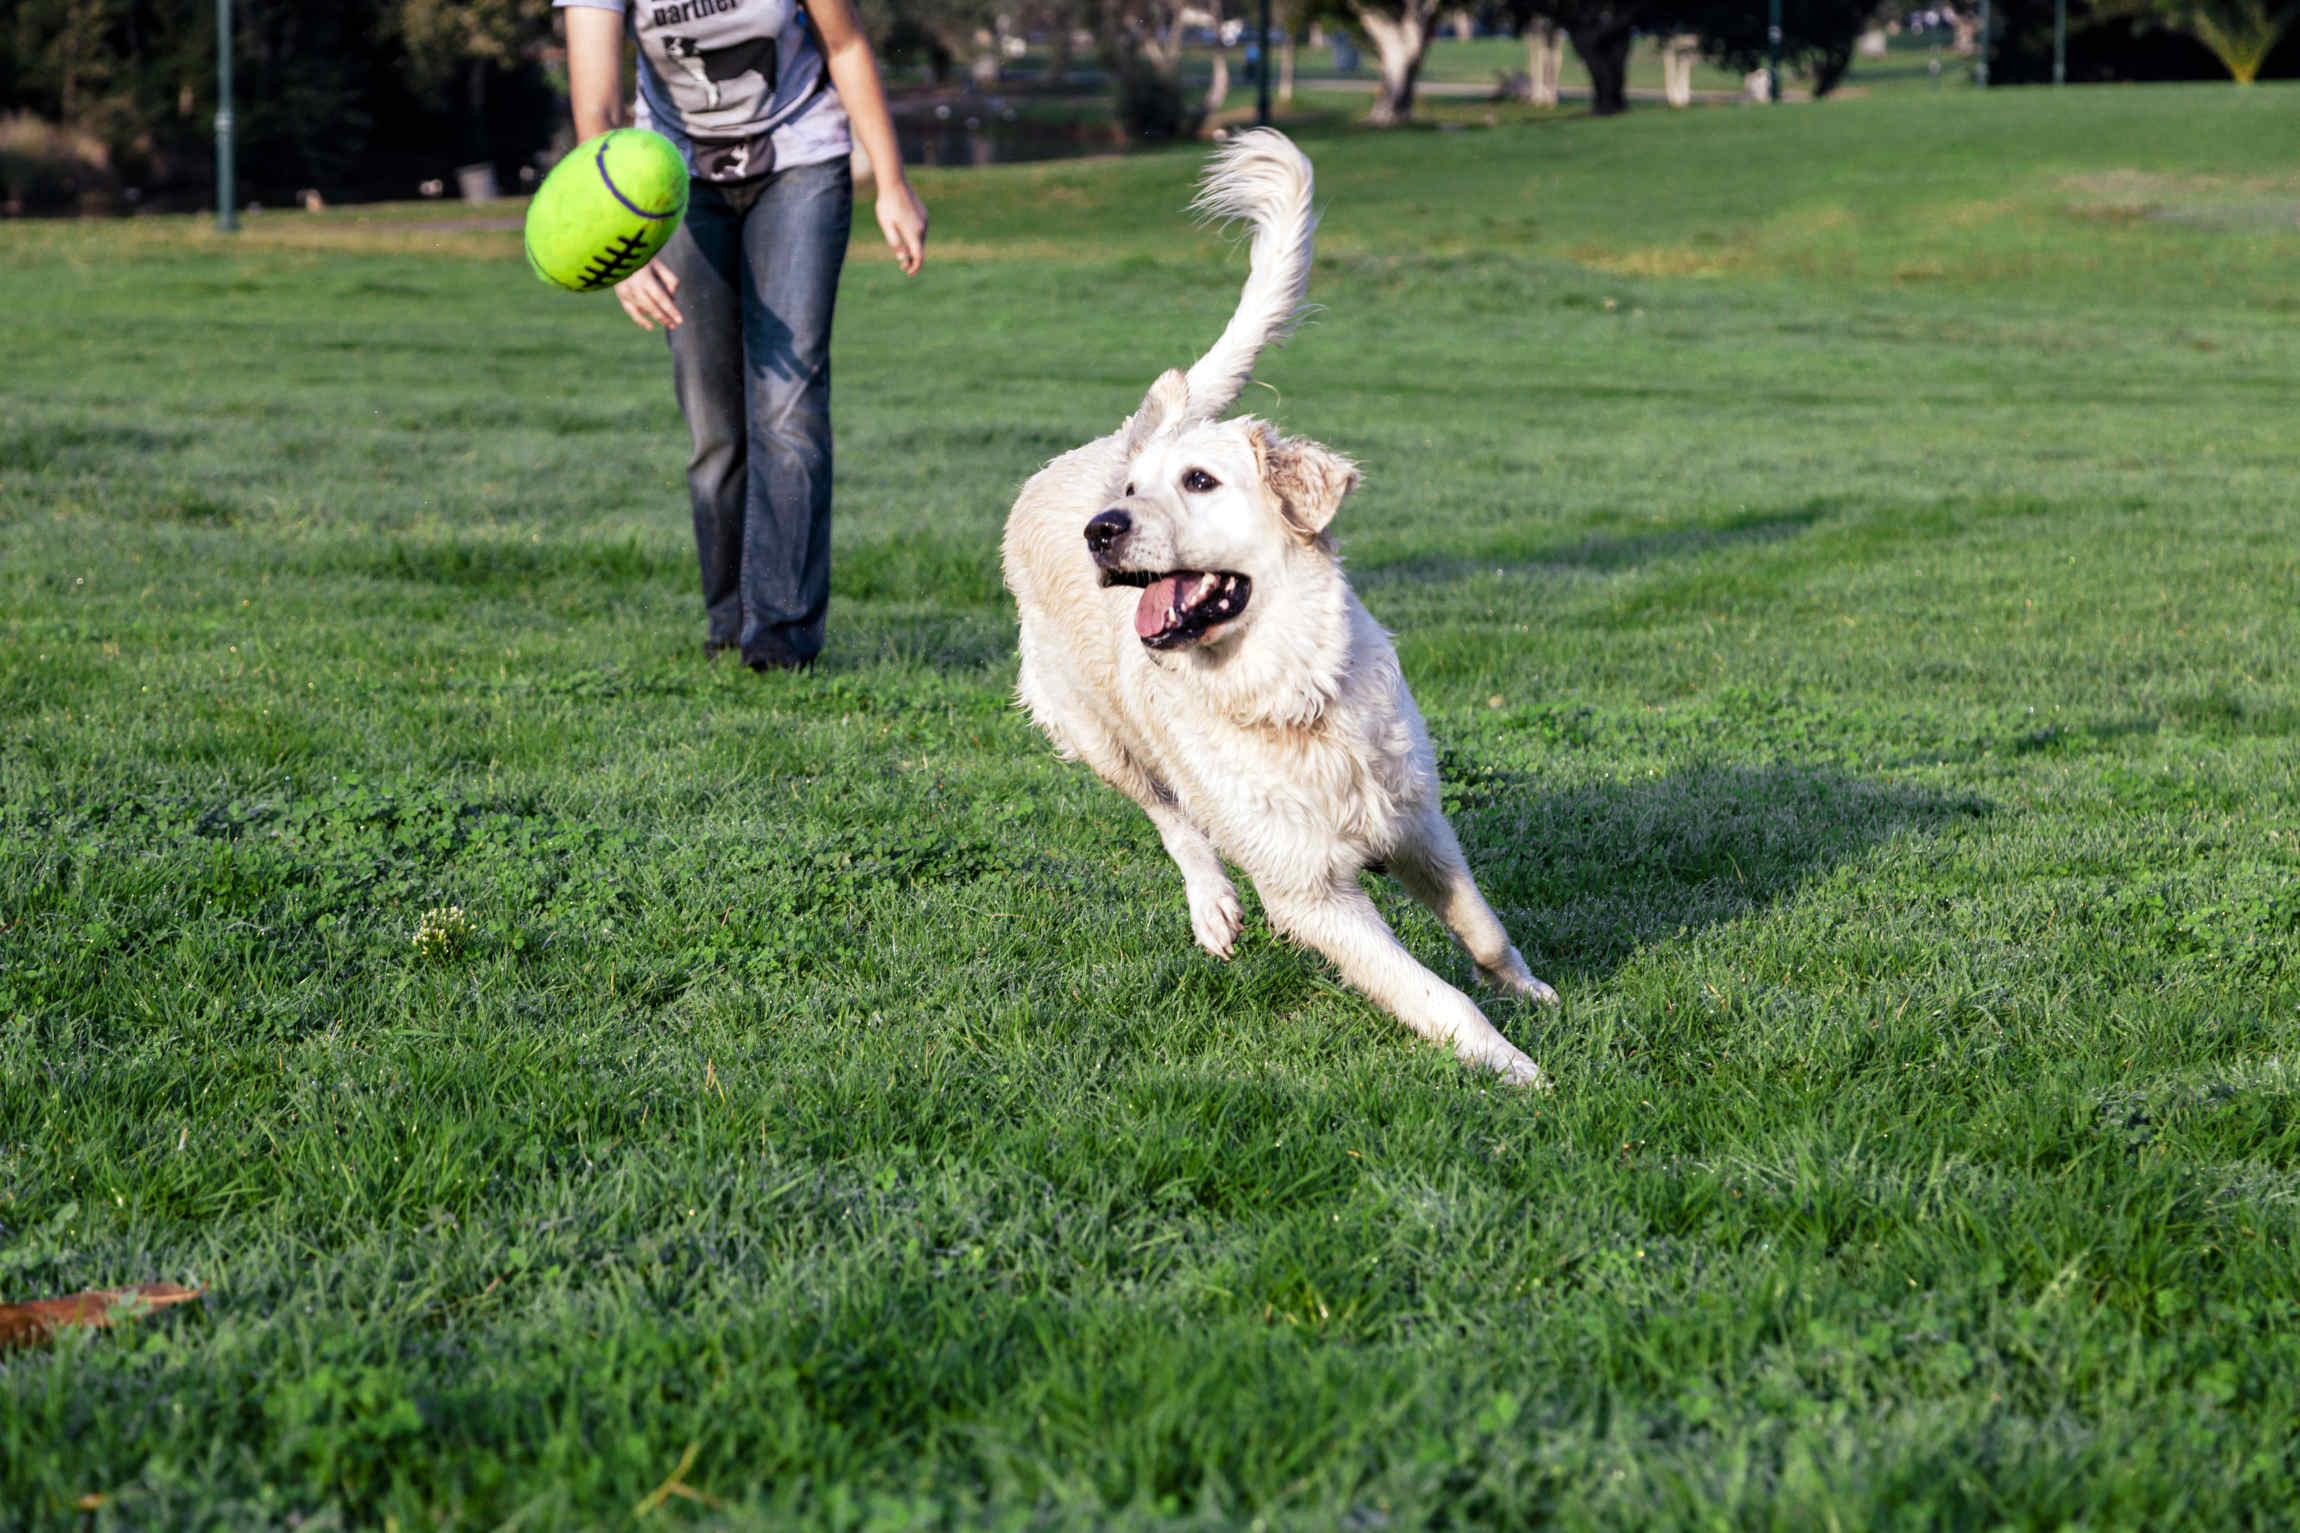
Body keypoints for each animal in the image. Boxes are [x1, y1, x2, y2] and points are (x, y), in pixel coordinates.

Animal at [998, 135, 1554, 1089]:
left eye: (1200, 481)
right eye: (1135, 494)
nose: (1102, 529)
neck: (1289, 692)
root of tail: (1101, 445)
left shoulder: (1416, 819)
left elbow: (1482, 928)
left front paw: (1530, 990)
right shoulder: (1312, 891)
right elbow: (1436, 995)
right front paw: (1516, 1069)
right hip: (1095, 734)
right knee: (1172, 816)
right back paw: (1213, 907)